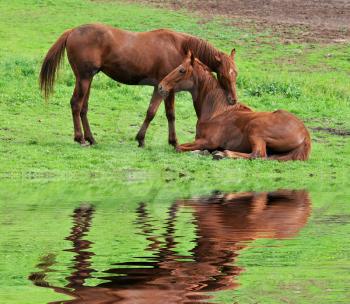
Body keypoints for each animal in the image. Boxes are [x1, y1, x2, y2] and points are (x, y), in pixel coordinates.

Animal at [39, 23, 238, 146]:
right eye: (222, 74)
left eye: (235, 73)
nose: (233, 100)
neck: (179, 46)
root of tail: (72, 31)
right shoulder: (164, 88)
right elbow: (159, 113)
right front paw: (153, 140)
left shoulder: (164, 88)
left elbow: (161, 113)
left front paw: (162, 140)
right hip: (84, 78)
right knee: (76, 104)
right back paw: (80, 138)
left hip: (88, 79)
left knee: (83, 108)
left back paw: (91, 138)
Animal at [159, 51, 312, 162]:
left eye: (181, 70)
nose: (161, 86)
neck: (216, 111)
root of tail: (305, 134)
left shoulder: (208, 141)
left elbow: (179, 147)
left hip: (255, 129)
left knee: (258, 155)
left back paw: (222, 154)